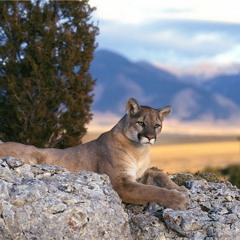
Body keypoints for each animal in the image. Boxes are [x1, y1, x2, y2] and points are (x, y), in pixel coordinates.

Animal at [0, 98, 189, 209]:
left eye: (157, 125)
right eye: (141, 123)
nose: (150, 137)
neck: (139, 150)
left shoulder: (138, 174)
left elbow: (159, 174)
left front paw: (179, 188)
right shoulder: (121, 182)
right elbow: (151, 191)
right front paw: (177, 199)